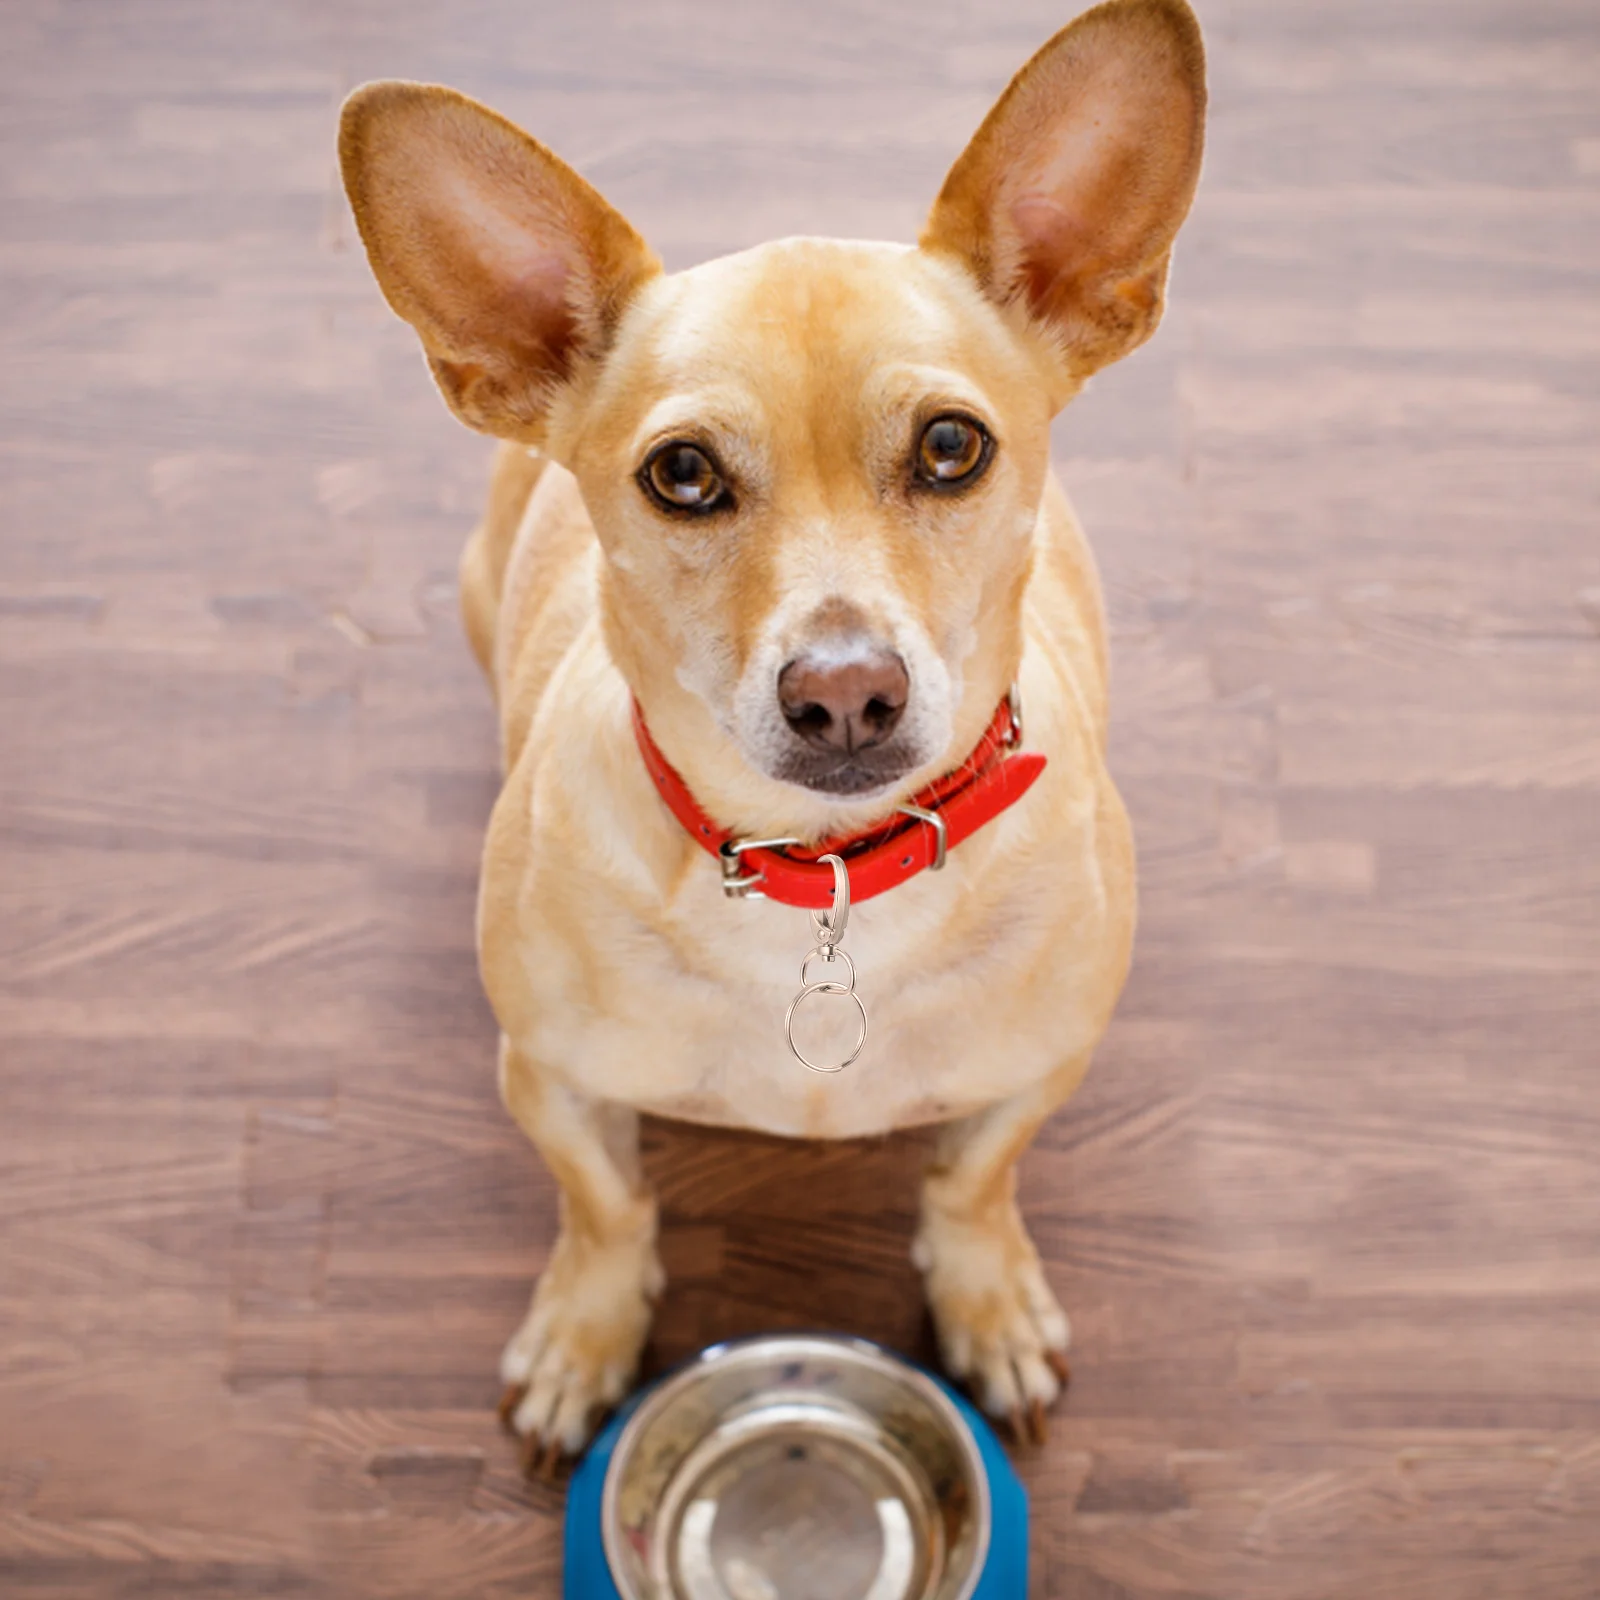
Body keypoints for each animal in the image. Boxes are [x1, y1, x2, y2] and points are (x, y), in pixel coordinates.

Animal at [338, 0, 1205, 1472]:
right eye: (682, 474)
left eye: (953, 448)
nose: (845, 692)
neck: (827, 876)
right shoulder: (551, 1084)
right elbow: (606, 1208)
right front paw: (585, 1333)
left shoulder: (1037, 1071)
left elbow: (972, 1183)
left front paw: (986, 1298)